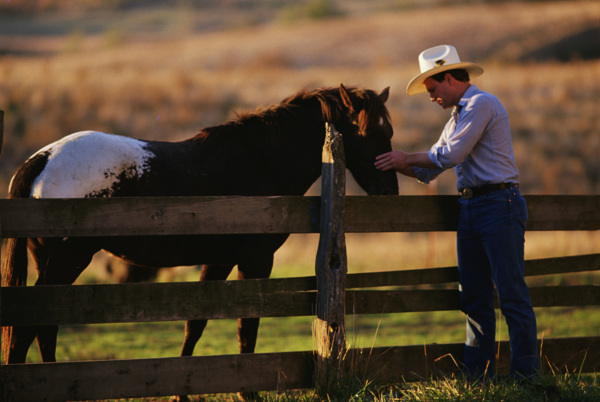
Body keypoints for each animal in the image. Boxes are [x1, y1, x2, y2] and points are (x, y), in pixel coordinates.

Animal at [1, 83, 398, 376]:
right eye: (368, 133)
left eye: (389, 131)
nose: (389, 193)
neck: (261, 159)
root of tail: (42, 160)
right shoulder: (256, 261)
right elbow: (246, 327)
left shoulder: (218, 261)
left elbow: (196, 324)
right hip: (64, 262)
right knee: (25, 332)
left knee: (44, 330)